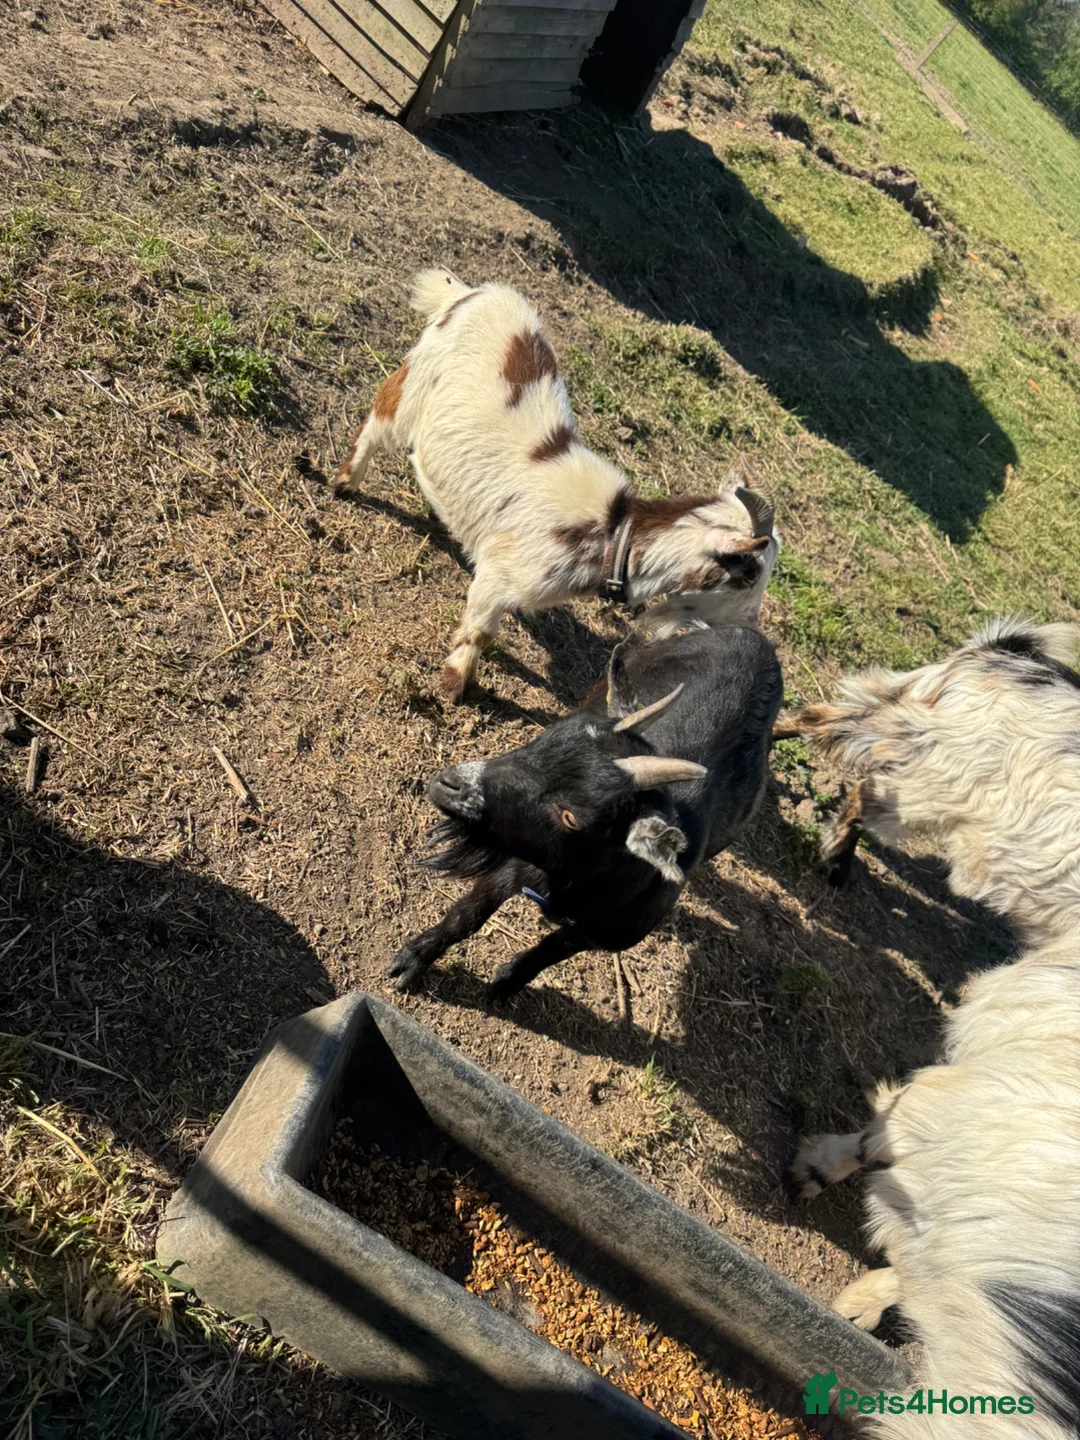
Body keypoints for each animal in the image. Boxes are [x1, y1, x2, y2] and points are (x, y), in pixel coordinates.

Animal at [337, 269, 778, 699]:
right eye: (748, 574)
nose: (752, 625)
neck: (611, 535)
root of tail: (472, 293)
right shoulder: (499, 576)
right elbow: (480, 631)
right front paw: (456, 684)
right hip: (416, 381)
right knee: (377, 423)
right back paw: (344, 484)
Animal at [388, 621, 782, 1000]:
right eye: (544, 740)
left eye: (571, 817)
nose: (449, 784)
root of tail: (757, 640)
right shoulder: (517, 866)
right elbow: (468, 913)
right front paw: (412, 960)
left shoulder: (598, 935)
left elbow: (547, 952)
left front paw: (505, 985)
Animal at [779, 618, 1080, 1437]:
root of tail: (1017, 648)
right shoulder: (965, 1105)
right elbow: (881, 1139)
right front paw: (811, 1170)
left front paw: (861, 1305)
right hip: (932, 771)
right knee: (850, 739)